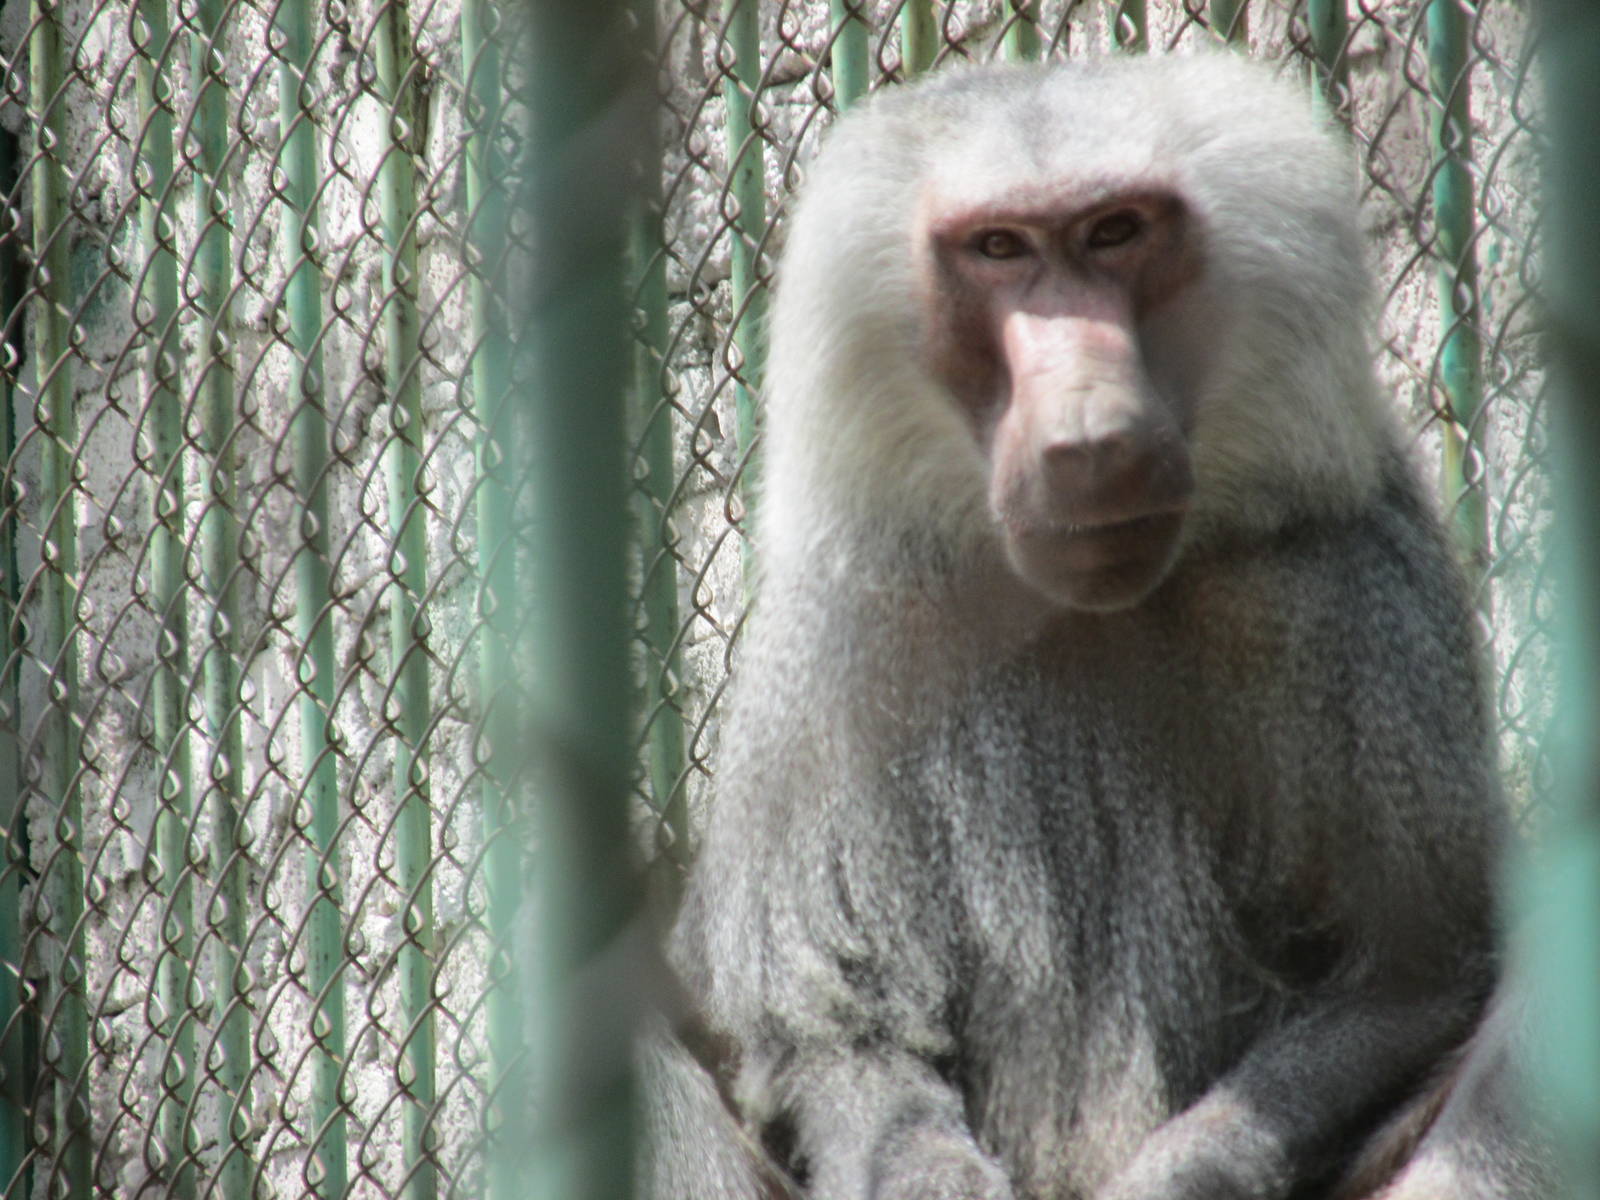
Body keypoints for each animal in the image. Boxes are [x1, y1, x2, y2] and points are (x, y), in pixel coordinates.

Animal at [645, 53, 1519, 1200]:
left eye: (1114, 231)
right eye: (999, 249)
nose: (1091, 438)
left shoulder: (1341, 579)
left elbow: (1411, 983)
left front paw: (1188, 1173)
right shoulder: (857, 622)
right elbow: (833, 1027)